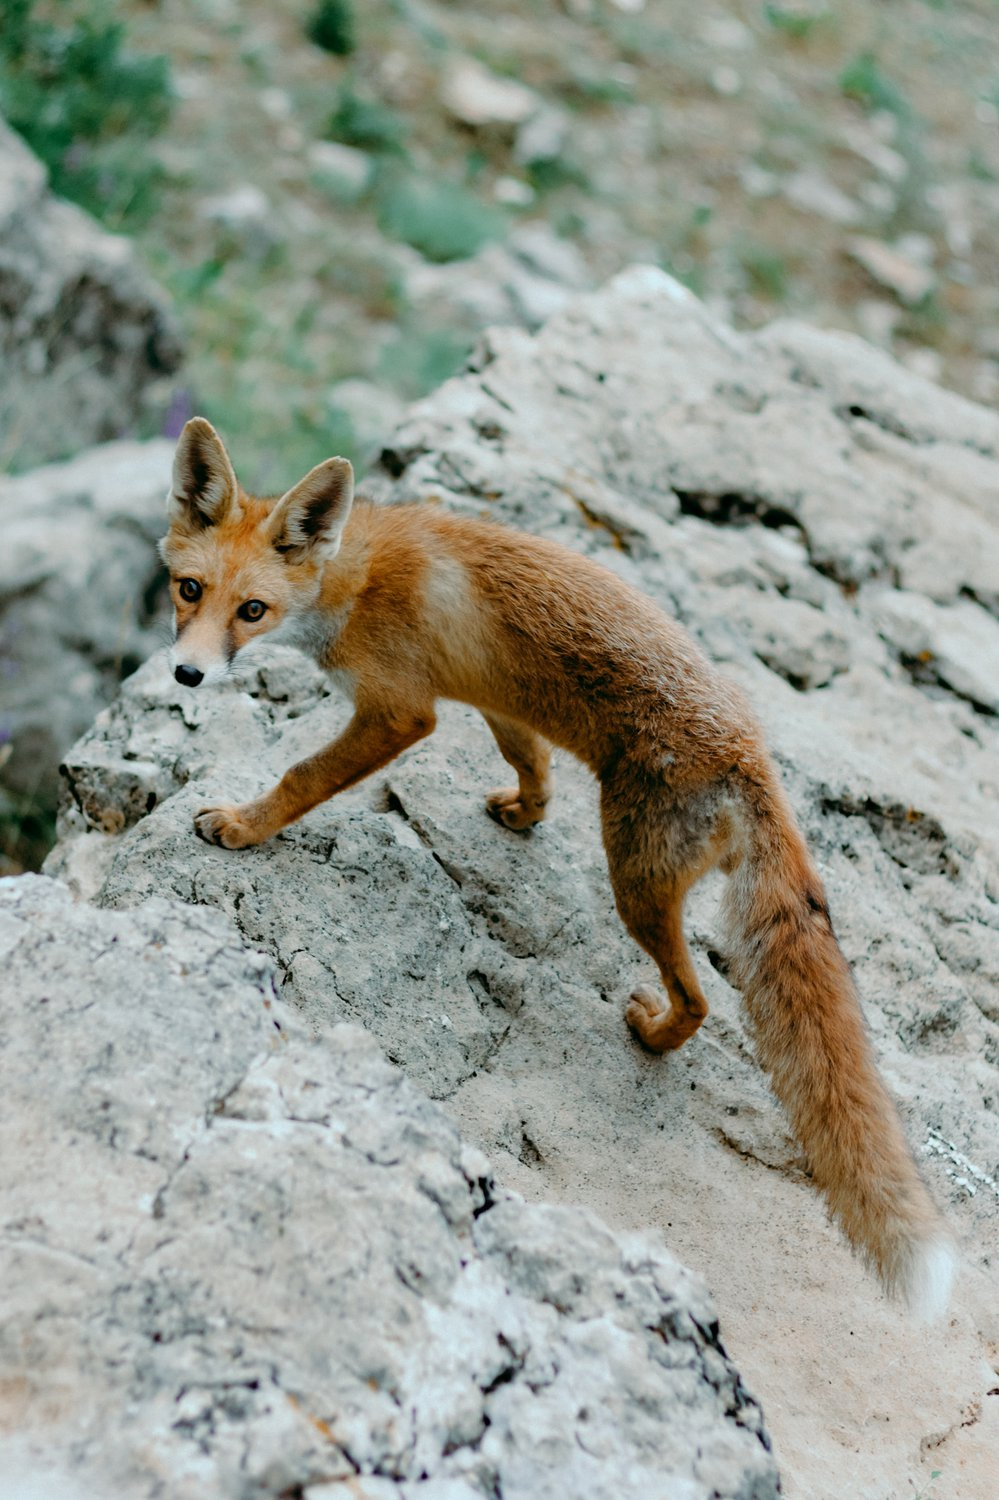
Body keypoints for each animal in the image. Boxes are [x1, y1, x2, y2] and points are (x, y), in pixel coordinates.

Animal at [161, 417, 948, 1320]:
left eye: (251, 610)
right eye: (188, 590)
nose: (185, 673)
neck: (351, 582)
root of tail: (752, 754)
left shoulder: (398, 712)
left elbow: (300, 777)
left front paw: (243, 825)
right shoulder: (491, 697)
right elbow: (526, 756)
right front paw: (525, 811)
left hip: (633, 881)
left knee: (701, 998)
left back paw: (653, 1034)